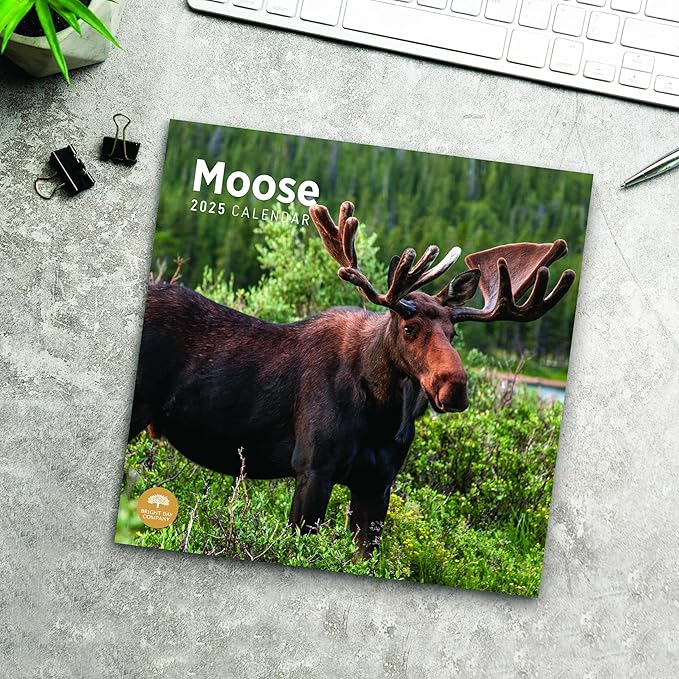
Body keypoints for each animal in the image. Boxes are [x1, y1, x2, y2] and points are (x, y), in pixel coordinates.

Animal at [128, 201, 575, 557]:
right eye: (409, 327)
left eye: (453, 333)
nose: (455, 388)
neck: (381, 413)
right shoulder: (313, 468)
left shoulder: (377, 484)